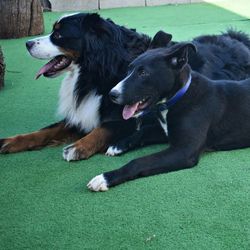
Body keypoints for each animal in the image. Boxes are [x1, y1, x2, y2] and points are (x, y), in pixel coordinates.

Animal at [87, 42, 250, 191]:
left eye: (143, 73)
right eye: (128, 70)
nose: (112, 94)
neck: (180, 95)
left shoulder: (184, 151)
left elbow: (139, 161)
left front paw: (105, 178)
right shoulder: (167, 131)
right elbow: (143, 131)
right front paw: (118, 145)